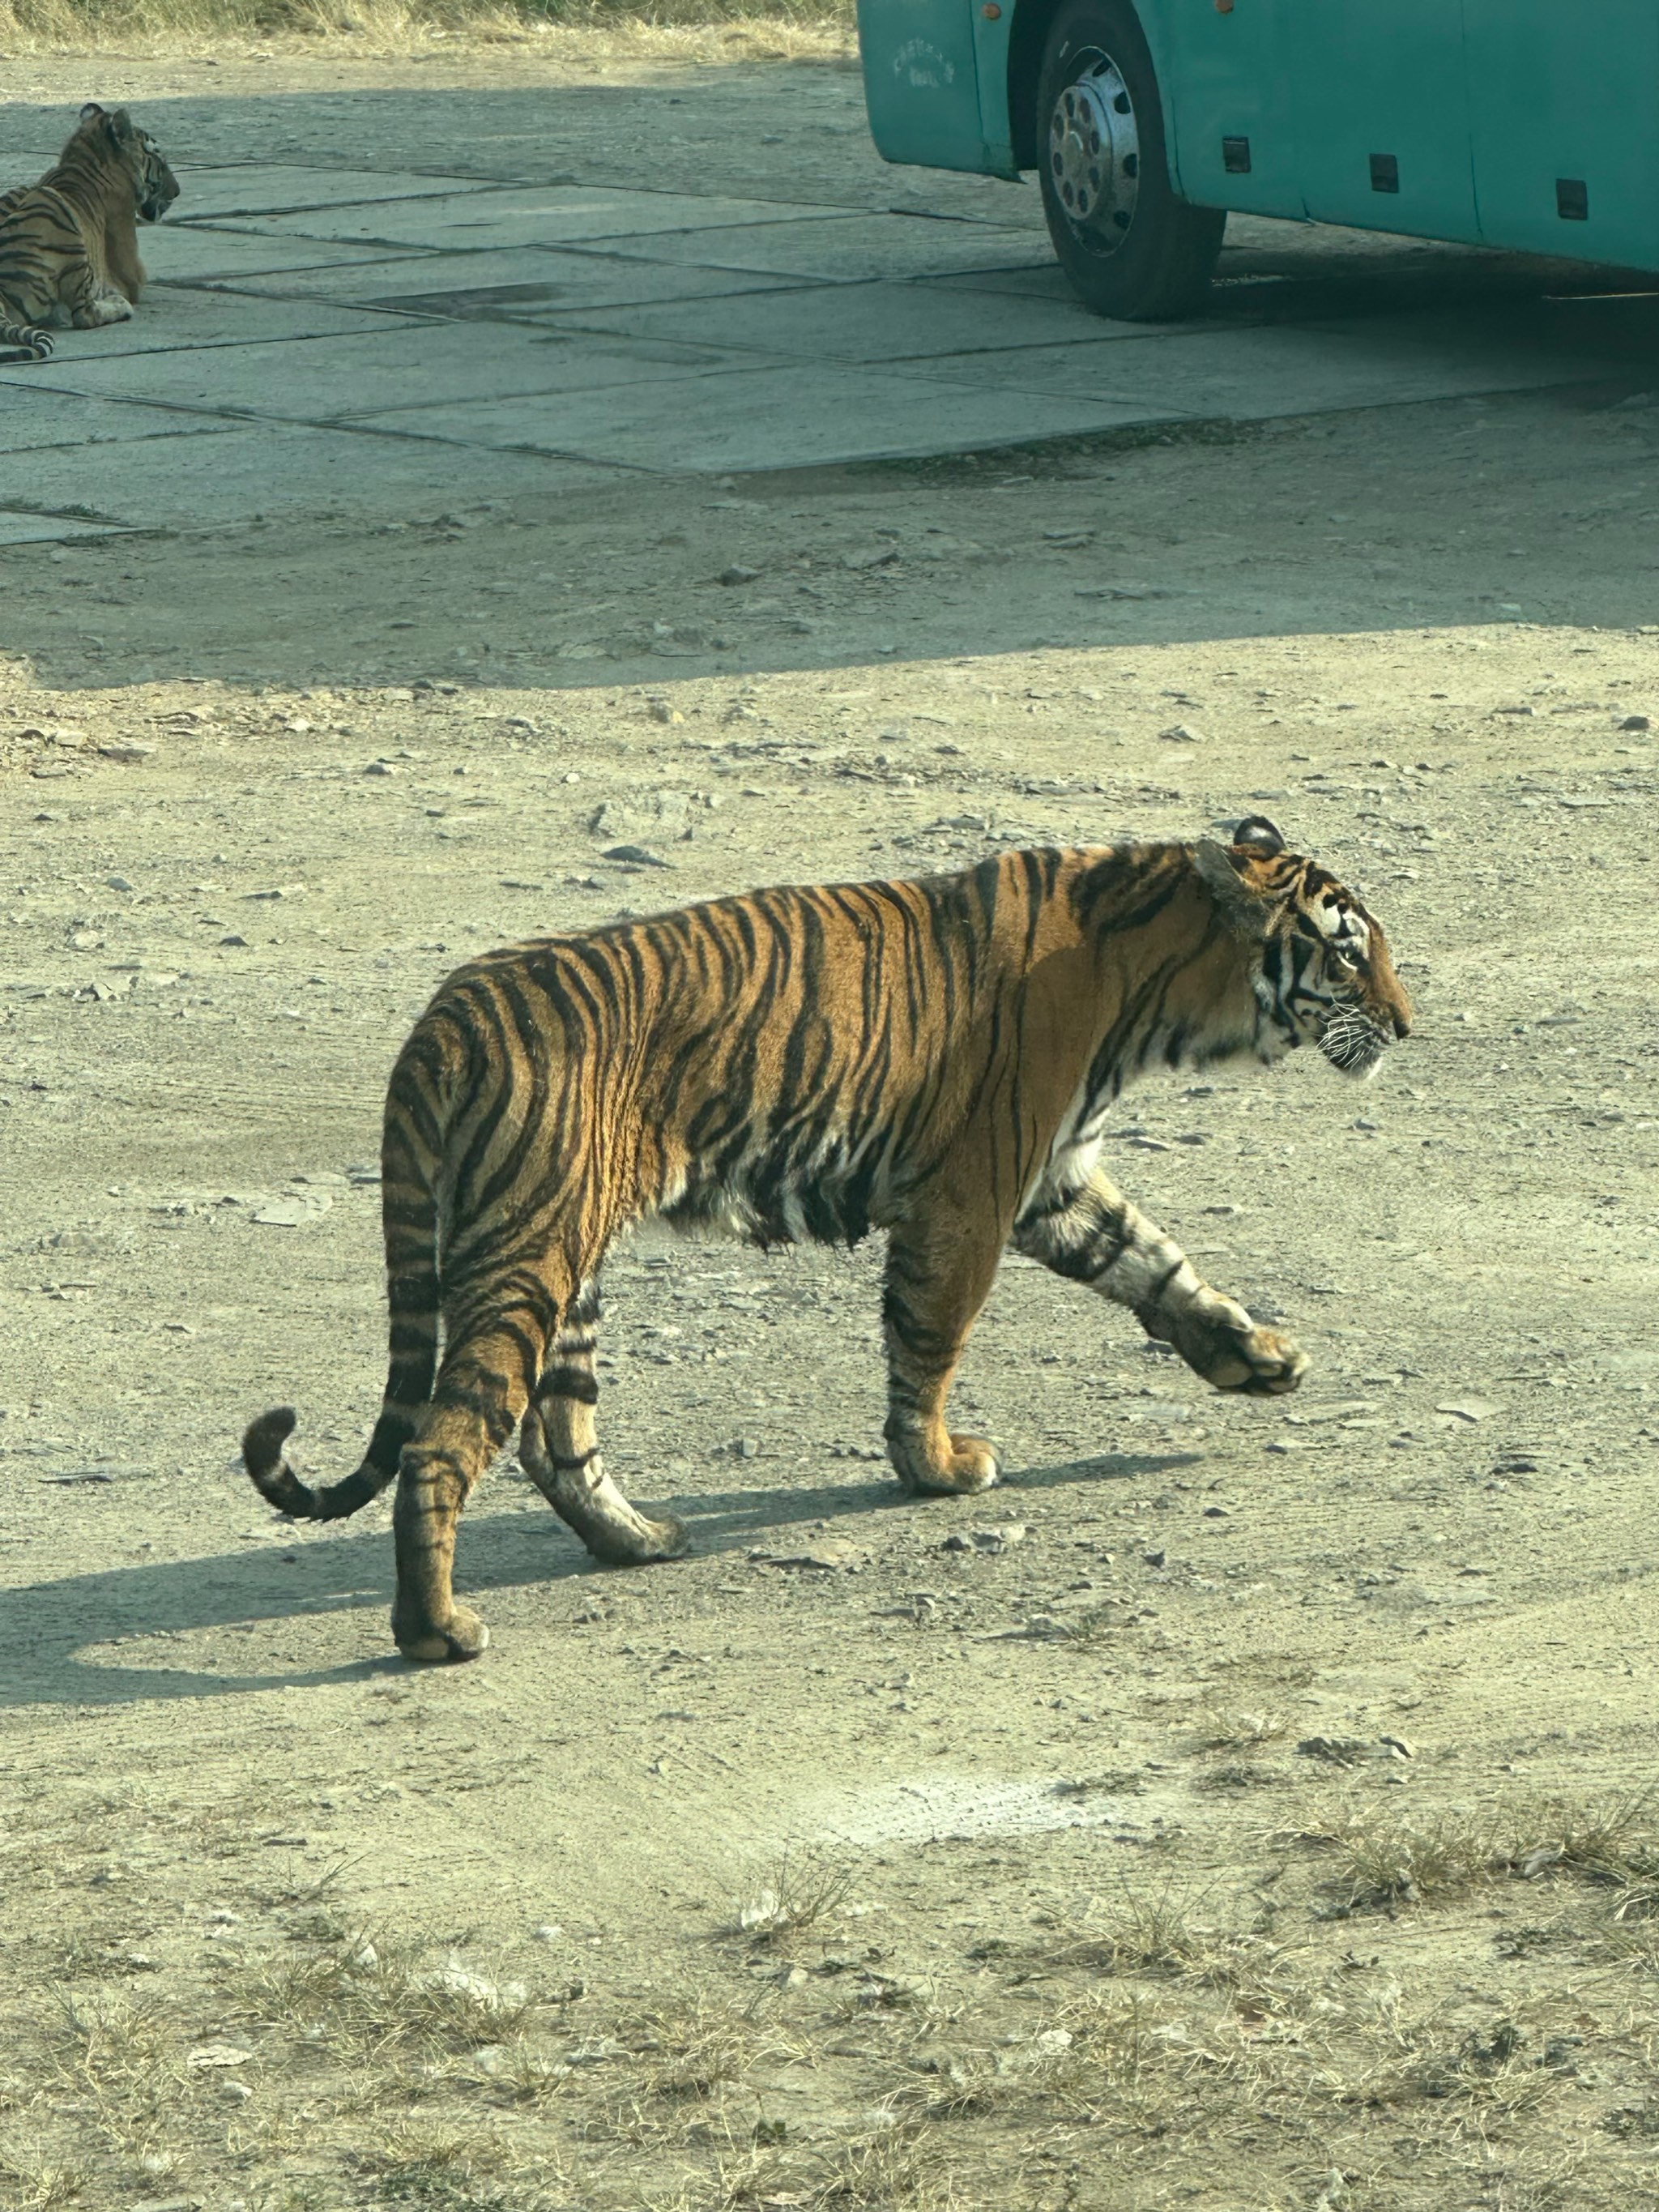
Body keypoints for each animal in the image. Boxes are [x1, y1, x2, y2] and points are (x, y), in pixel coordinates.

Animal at [0, 104, 181, 360]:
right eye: (156, 154)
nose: (177, 191)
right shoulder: (131, 271)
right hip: (54, 209)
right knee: (84, 314)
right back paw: (119, 305)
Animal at [246, 813, 1415, 1663]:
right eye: (1347, 956)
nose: (1406, 1025)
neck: (1151, 975)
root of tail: (441, 1020)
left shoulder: (1054, 1182)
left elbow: (1159, 1266)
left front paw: (1259, 1358)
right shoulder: (973, 1193)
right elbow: (931, 1339)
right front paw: (938, 1466)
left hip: (567, 1271)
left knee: (555, 1431)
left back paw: (638, 1541)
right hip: (527, 1250)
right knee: (447, 1437)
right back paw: (437, 1632)